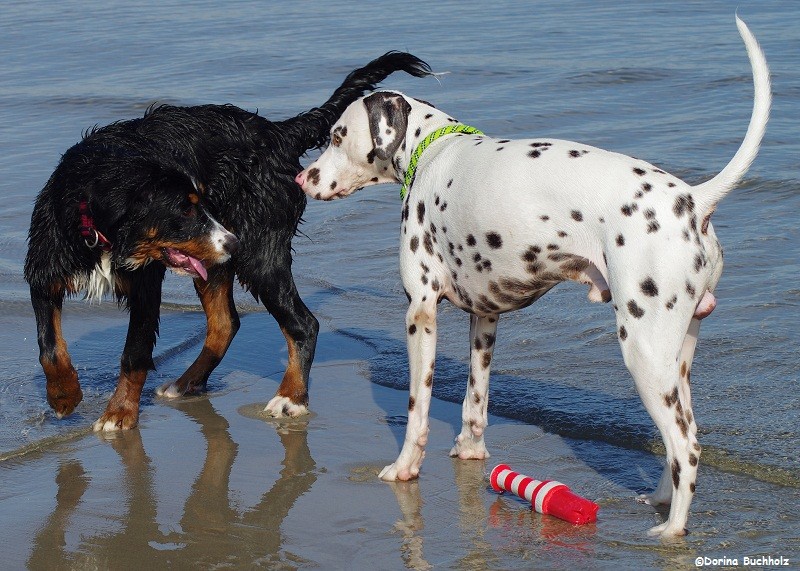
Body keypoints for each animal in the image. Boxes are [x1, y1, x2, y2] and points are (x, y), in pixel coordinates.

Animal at [25, 52, 432, 428]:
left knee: (303, 324)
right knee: (225, 324)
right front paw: (63, 395)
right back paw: (186, 383)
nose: (234, 242)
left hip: (260, 255)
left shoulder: (144, 287)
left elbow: (134, 353)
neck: (95, 226)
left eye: (200, 201)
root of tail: (277, 133)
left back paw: (290, 397)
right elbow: (49, 347)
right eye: (185, 209)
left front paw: (118, 413)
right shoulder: (46, 269)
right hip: (215, 259)